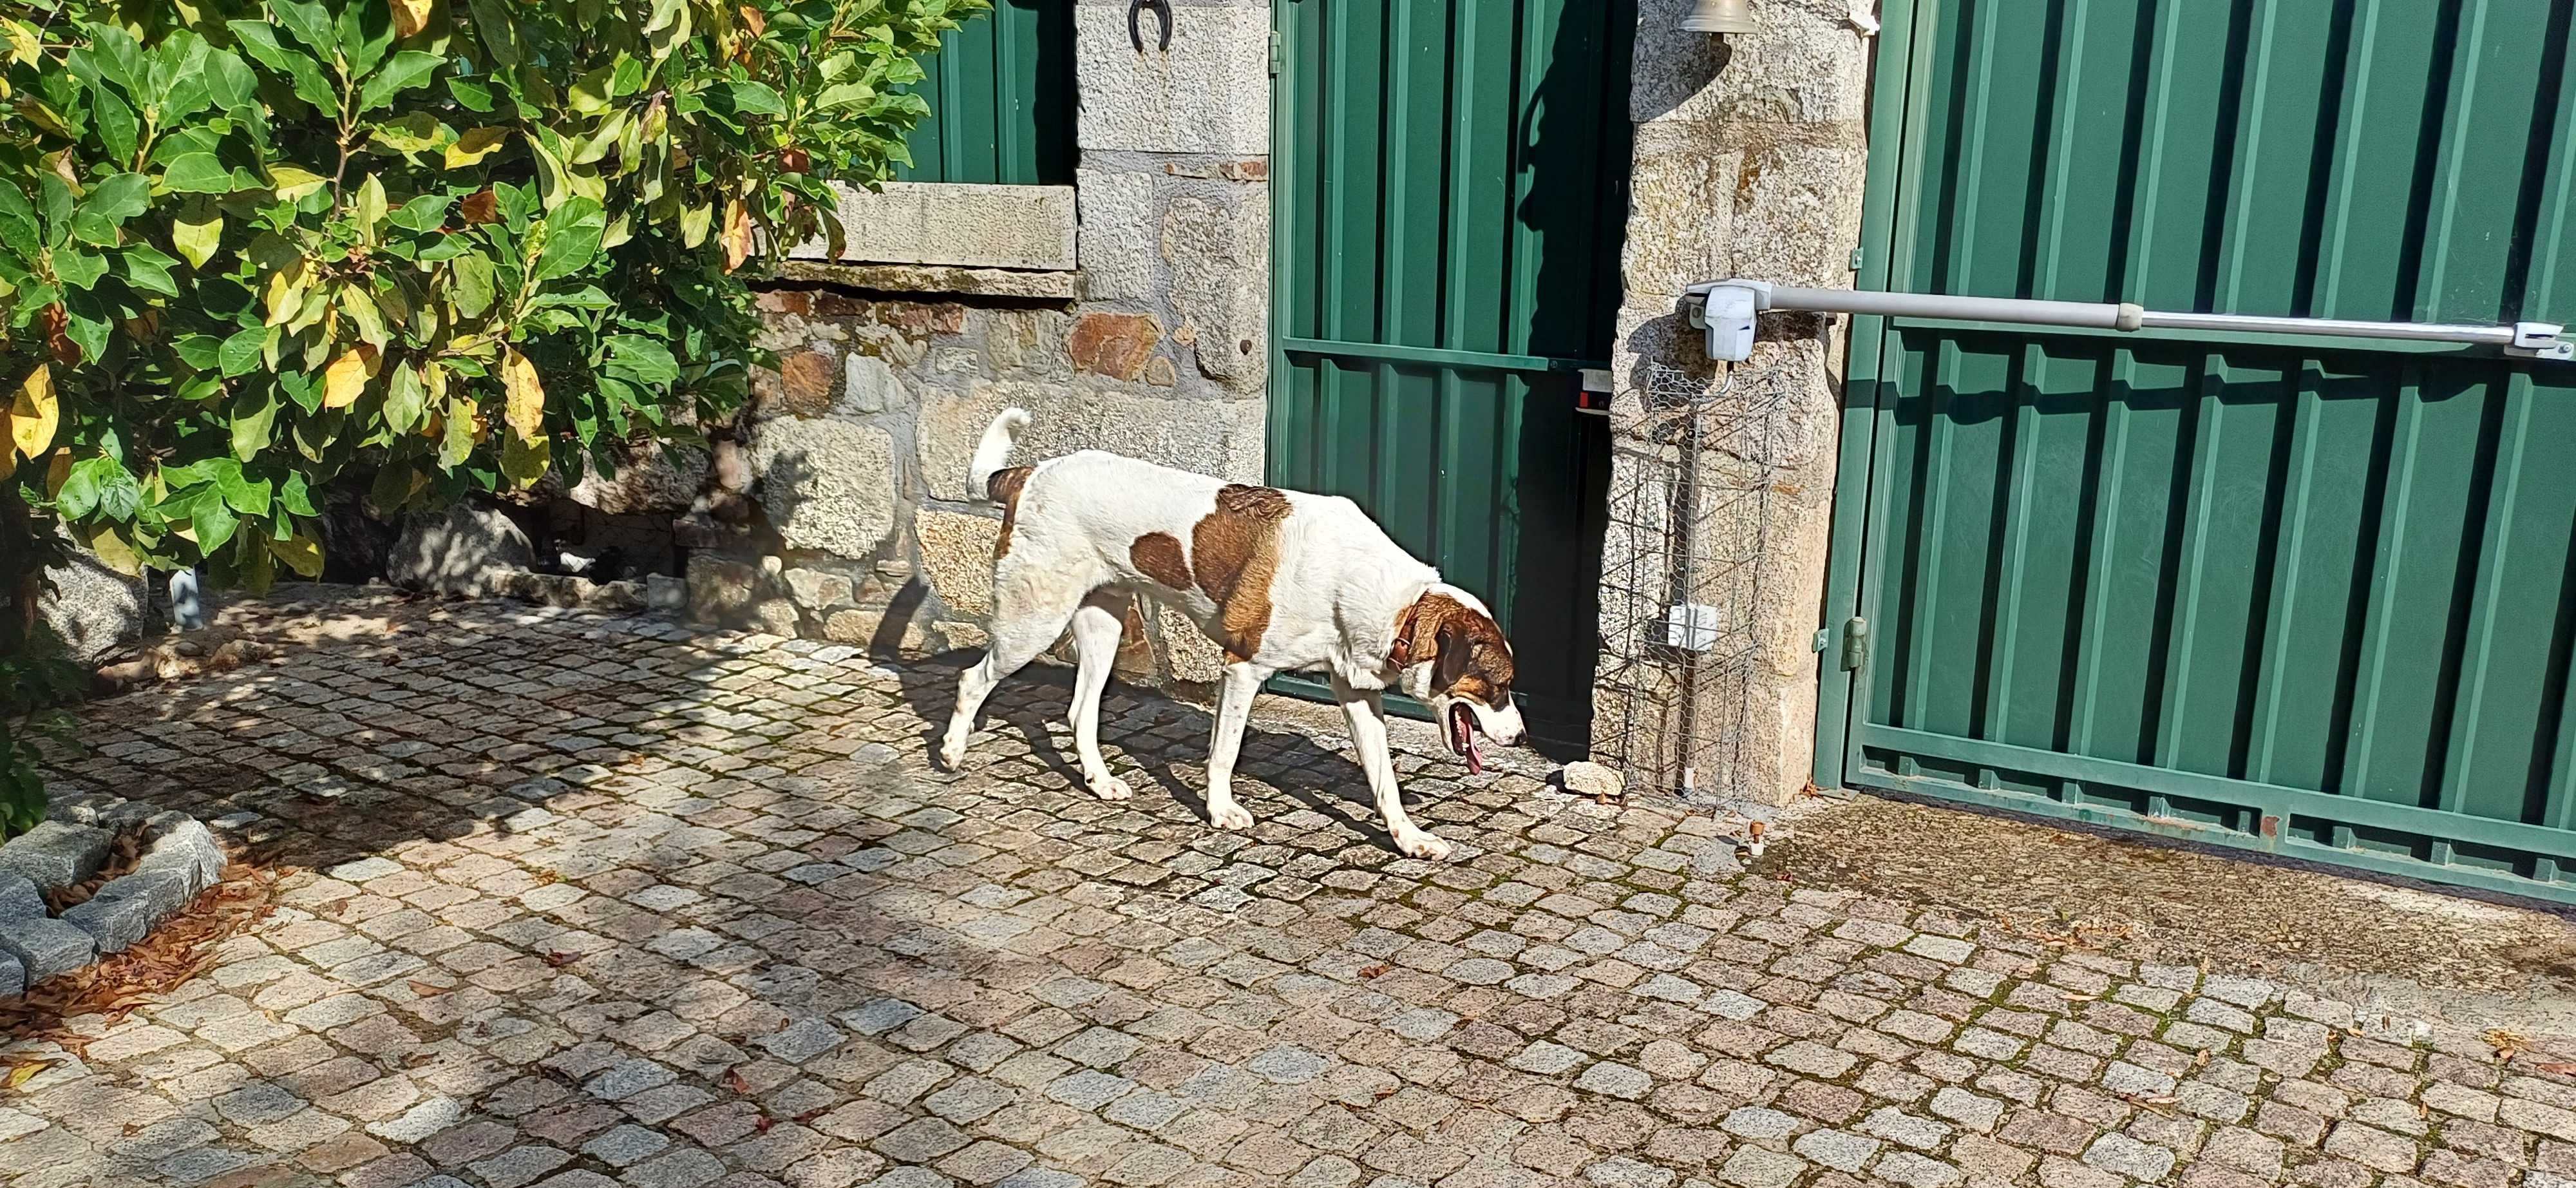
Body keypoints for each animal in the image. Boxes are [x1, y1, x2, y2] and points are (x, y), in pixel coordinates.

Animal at [938, 407, 1515, 850]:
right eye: (1500, 686)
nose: (1521, 735)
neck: (1399, 606)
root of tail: (1032, 472)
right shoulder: (1243, 670)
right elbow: (1225, 752)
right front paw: (1220, 812)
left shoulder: (1356, 692)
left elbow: (1384, 779)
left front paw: (1408, 838)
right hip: (1032, 622)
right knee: (974, 679)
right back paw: (951, 753)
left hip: (1102, 625)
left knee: (1081, 710)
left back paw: (1100, 782)